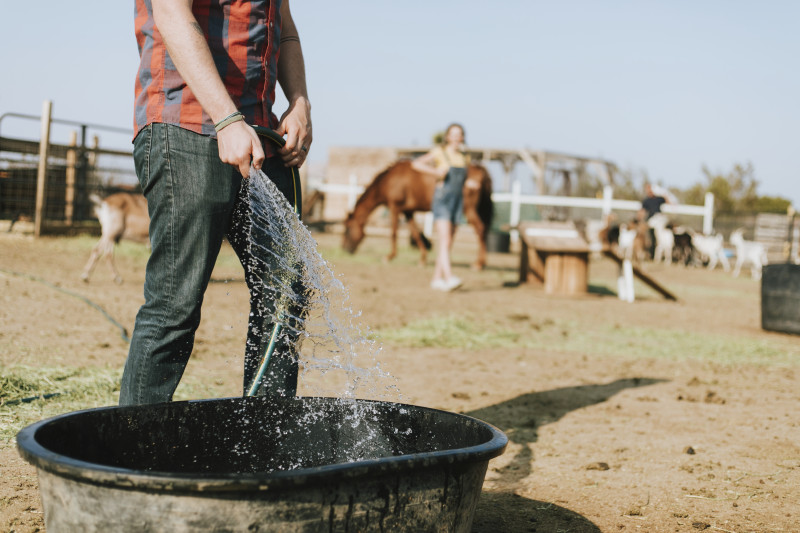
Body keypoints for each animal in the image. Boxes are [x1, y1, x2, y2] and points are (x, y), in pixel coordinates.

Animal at [342, 159, 494, 268]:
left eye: (348, 229)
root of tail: (481, 170)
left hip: (469, 210)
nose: (345, 249)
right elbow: (416, 233)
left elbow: (394, 233)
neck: (390, 180)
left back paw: (479, 264)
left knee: (480, 229)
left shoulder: (394, 207)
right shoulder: (408, 211)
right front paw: (423, 259)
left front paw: (389, 257)